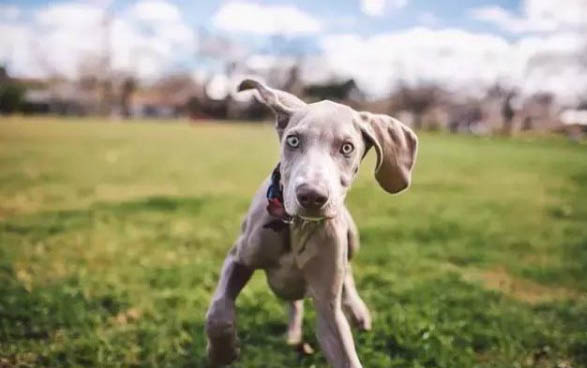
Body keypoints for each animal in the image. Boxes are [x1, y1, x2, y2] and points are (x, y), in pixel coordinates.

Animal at [206, 78, 418, 368]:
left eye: (347, 147)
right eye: (293, 140)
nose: (311, 196)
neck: (297, 225)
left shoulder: (328, 308)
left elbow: (345, 353)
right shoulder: (238, 258)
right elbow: (218, 313)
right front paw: (223, 352)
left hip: (352, 238)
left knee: (346, 274)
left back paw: (356, 311)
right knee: (294, 303)